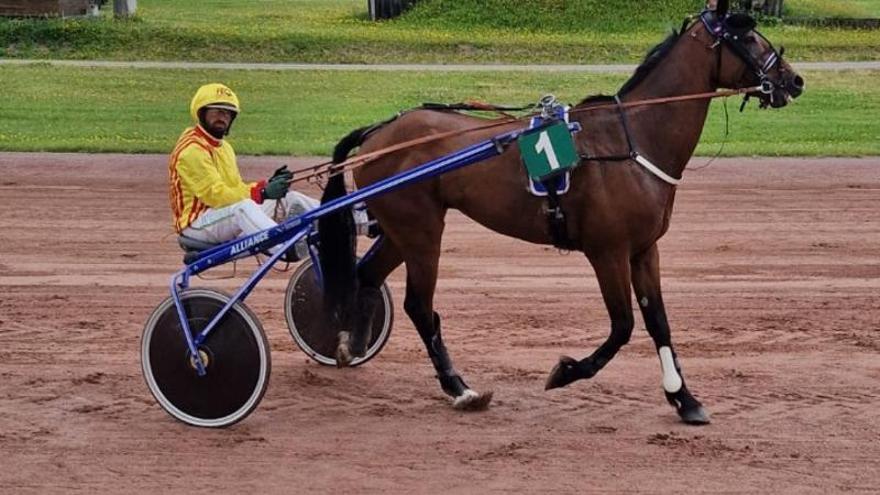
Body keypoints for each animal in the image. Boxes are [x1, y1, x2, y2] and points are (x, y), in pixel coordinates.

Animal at [318, 0, 804, 426]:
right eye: (749, 37)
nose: (794, 81)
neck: (631, 139)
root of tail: (379, 133)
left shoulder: (644, 249)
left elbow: (658, 323)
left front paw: (684, 398)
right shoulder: (607, 251)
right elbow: (623, 326)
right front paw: (566, 371)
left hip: (402, 230)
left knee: (365, 275)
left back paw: (350, 344)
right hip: (421, 231)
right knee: (419, 306)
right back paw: (459, 388)